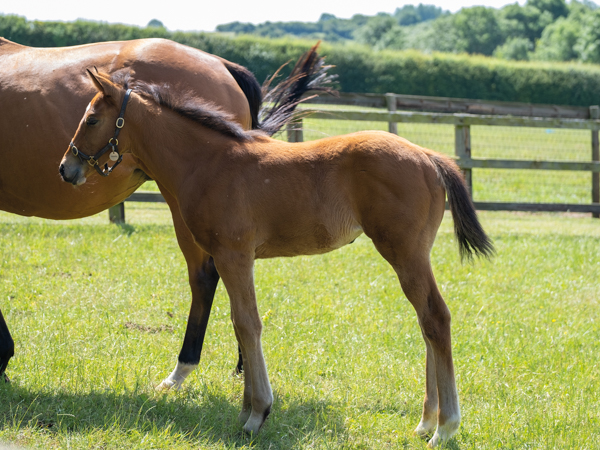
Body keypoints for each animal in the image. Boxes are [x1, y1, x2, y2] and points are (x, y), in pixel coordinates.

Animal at [0, 37, 328, 384]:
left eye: (91, 119)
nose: (65, 168)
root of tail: (225, 65)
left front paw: (3, 359)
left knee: (205, 277)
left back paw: (193, 367)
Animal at [59, 72, 492, 448]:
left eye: (92, 118)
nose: (67, 168)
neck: (208, 161)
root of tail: (428, 155)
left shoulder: (234, 255)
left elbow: (247, 324)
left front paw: (257, 414)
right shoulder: (232, 259)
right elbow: (240, 324)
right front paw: (246, 410)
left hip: (404, 252)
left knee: (436, 317)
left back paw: (445, 427)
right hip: (412, 256)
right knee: (426, 321)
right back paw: (426, 422)